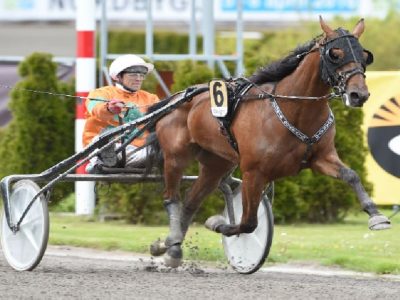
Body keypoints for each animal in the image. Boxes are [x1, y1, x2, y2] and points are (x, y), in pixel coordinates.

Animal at [148, 17, 390, 268]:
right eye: (336, 54)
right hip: (176, 156)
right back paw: (172, 243)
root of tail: (178, 97)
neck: (293, 109)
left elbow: (351, 176)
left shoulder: (322, 158)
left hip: (215, 164)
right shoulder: (253, 172)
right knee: (171, 198)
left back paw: (169, 246)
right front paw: (217, 223)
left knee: (190, 203)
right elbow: (248, 223)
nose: (358, 94)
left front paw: (376, 215)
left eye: (364, 56)